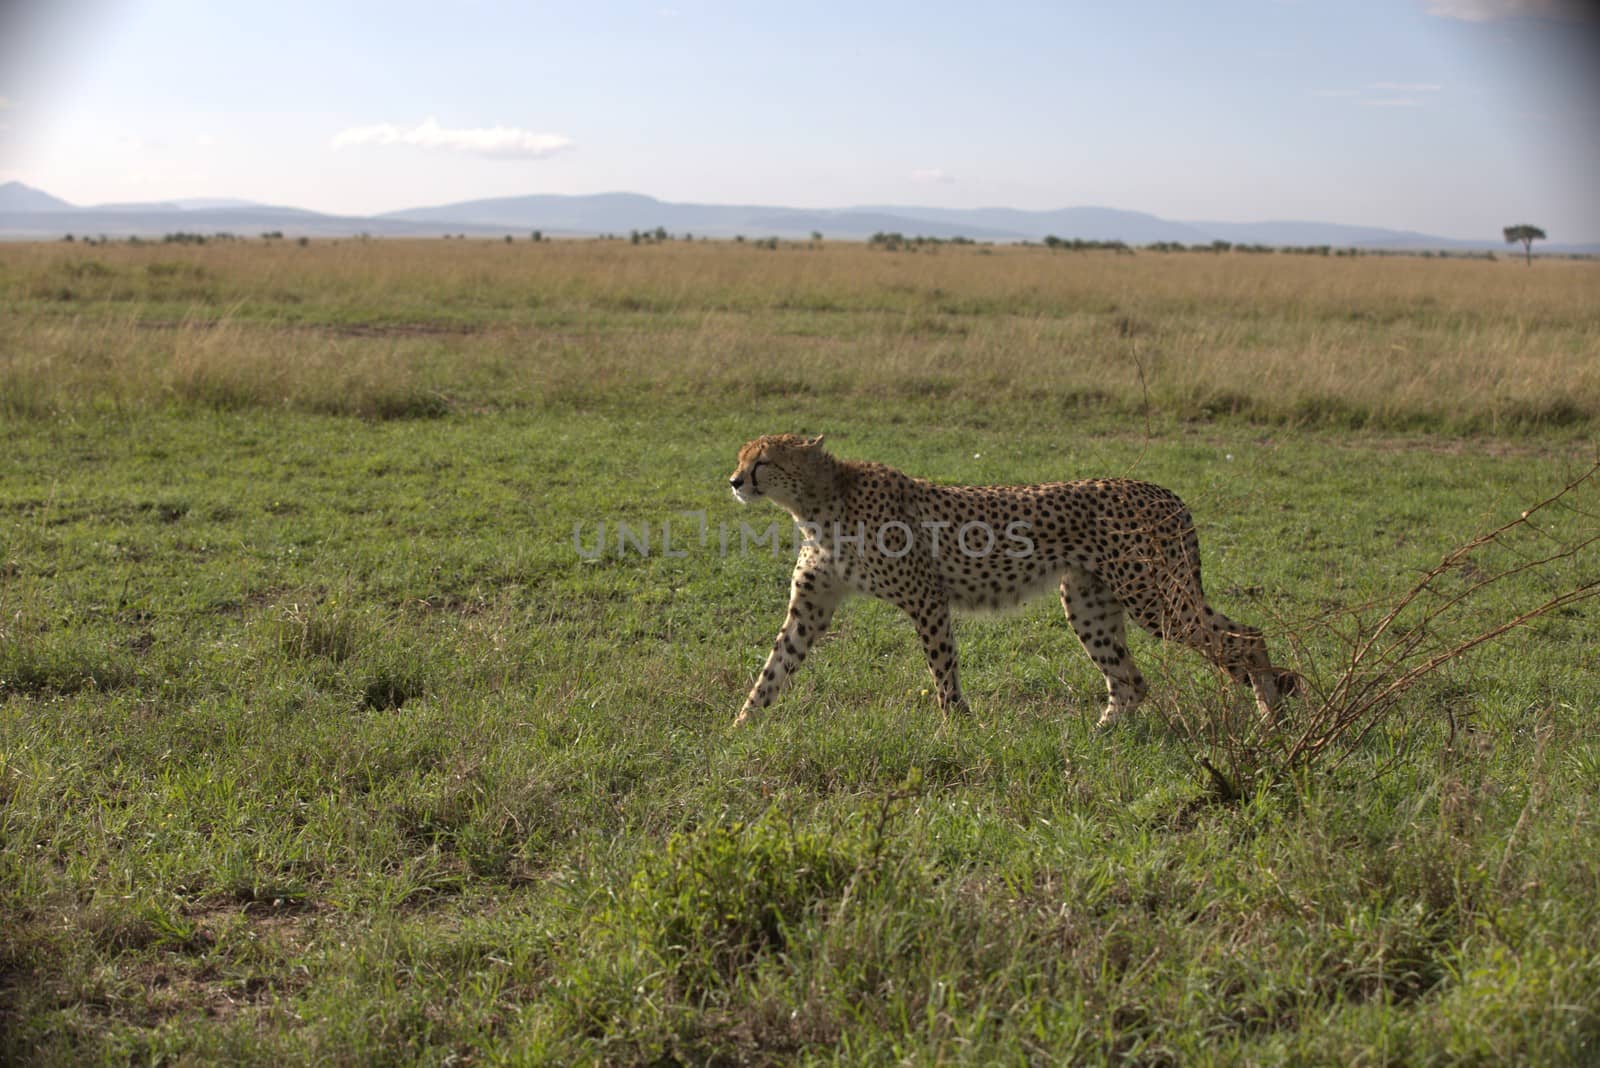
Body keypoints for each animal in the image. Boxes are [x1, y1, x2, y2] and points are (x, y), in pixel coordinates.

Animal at [726, 434, 1299, 725]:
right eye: (741, 457)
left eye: (764, 462)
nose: (733, 481)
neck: (818, 501)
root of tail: (1164, 491)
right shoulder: (812, 605)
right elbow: (775, 666)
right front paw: (741, 729)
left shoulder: (927, 598)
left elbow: (942, 669)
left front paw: (956, 727)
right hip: (1089, 600)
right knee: (1132, 681)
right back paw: (1100, 738)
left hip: (1153, 599)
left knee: (1244, 637)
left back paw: (1269, 720)